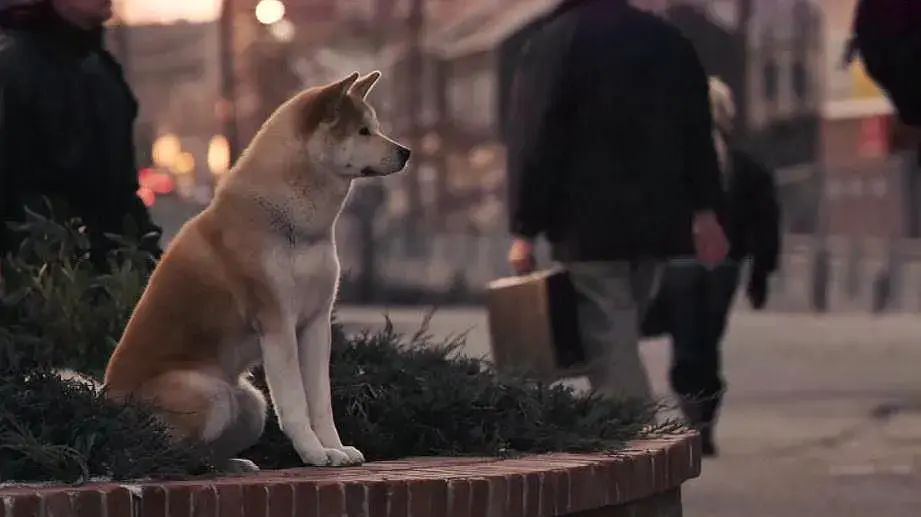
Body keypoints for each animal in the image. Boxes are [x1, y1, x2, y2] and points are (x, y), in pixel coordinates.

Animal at [102, 71, 412, 472]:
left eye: (375, 128)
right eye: (362, 131)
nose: (406, 152)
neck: (291, 221)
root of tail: (105, 401)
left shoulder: (316, 323)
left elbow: (321, 402)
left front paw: (336, 449)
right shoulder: (277, 324)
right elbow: (295, 405)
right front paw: (314, 454)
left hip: (251, 404)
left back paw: (231, 465)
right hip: (210, 393)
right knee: (171, 449)